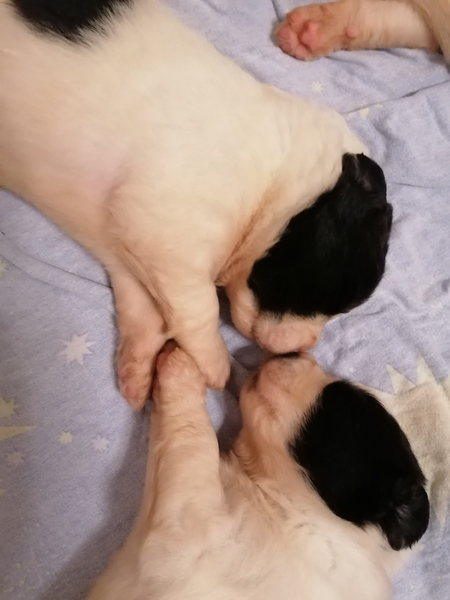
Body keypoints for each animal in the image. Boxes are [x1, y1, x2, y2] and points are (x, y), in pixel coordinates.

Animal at [0, 0, 392, 409]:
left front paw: (137, 369)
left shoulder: (125, 242)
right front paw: (215, 364)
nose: (304, 347)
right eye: (332, 291)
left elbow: (142, 304)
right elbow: (199, 304)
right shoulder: (162, 229)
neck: (278, 181)